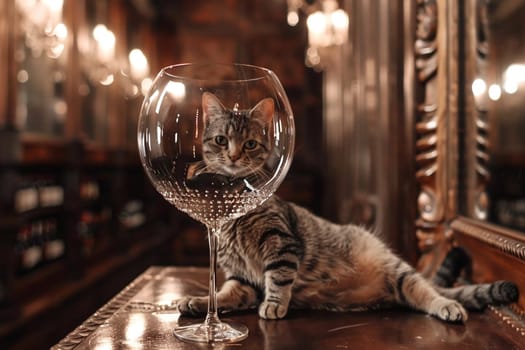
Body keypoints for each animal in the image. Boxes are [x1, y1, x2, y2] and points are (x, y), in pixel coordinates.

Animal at [175, 92, 516, 322]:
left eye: (249, 144)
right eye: (221, 140)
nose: (233, 156)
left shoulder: (281, 243)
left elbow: (279, 278)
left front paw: (273, 304)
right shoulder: (241, 275)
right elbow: (226, 293)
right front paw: (200, 302)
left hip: (400, 271)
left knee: (426, 291)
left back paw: (447, 306)